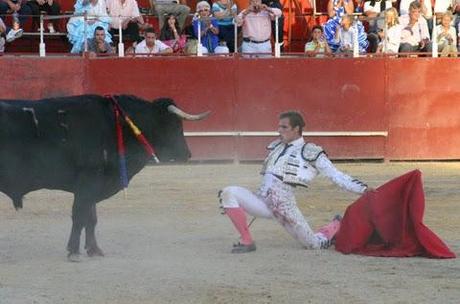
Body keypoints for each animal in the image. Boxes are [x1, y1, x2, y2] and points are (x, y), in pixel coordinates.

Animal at [0, 94, 208, 258]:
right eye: (175, 126)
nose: (187, 154)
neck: (118, 125)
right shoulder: (88, 181)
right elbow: (79, 215)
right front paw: (73, 251)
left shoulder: (94, 185)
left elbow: (91, 218)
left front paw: (94, 250)